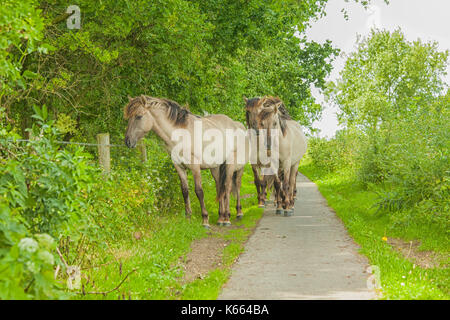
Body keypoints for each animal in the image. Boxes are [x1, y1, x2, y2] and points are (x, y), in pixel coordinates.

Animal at [124, 95, 250, 228]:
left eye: (139, 116)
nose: (127, 141)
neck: (181, 136)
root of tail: (236, 125)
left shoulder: (195, 167)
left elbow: (199, 191)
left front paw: (205, 219)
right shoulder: (179, 166)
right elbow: (185, 191)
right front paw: (188, 217)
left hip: (232, 165)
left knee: (230, 186)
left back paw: (231, 216)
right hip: (216, 167)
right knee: (219, 187)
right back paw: (221, 218)